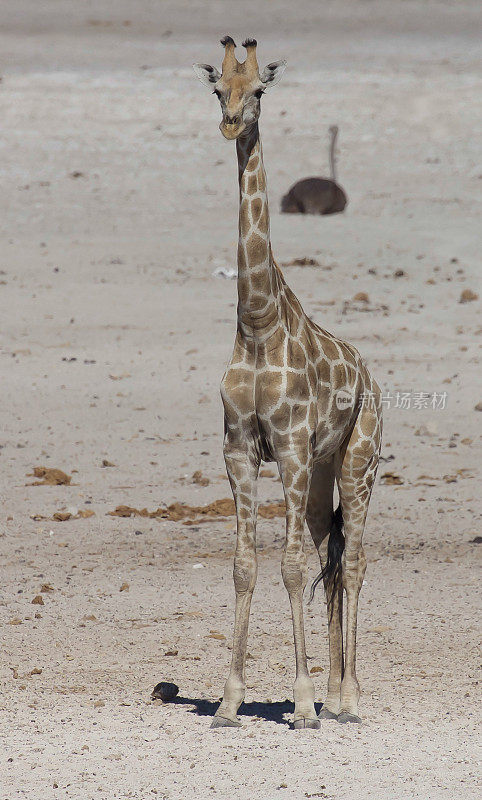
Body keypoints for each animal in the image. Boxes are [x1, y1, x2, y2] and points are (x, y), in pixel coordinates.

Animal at [194, 37, 382, 732]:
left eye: (260, 90)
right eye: (217, 88)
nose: (231, 123)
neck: (256, 323)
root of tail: (371, 377)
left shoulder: (292, 446)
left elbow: (291, 564)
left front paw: (299, 704)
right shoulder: (240, 448)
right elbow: (247, 565)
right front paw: (228, 701)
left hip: (356, 462)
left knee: (352, 562)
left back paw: (347, 700)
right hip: (323, 474)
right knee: (331, 556)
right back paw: (332, 695)